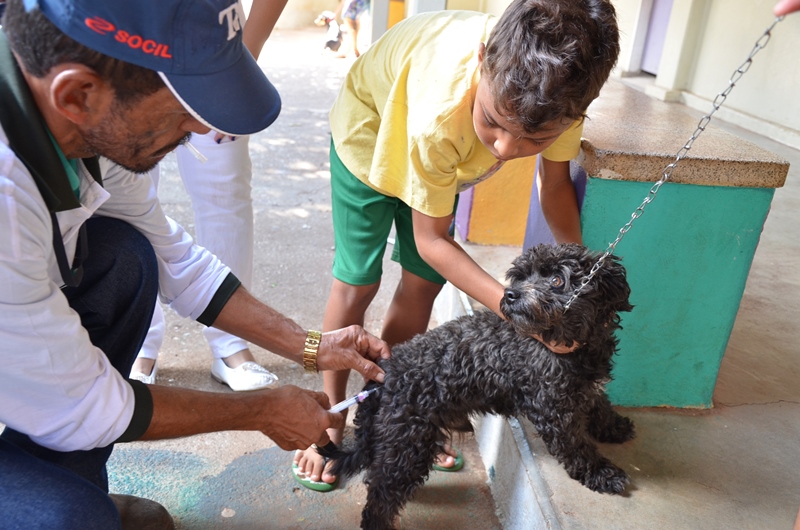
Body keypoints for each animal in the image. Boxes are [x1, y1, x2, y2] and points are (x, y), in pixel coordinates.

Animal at [318, 243, 636, 528]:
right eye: (520, 276)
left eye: (558, 280)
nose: (510, 294)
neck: (574, 343)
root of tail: (383, 373)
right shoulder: (554, 409)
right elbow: (576, 447)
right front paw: (602, 473)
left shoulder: (583, 387)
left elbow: (598, 402)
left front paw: (613, 426)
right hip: (406, 444)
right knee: (380, 496)